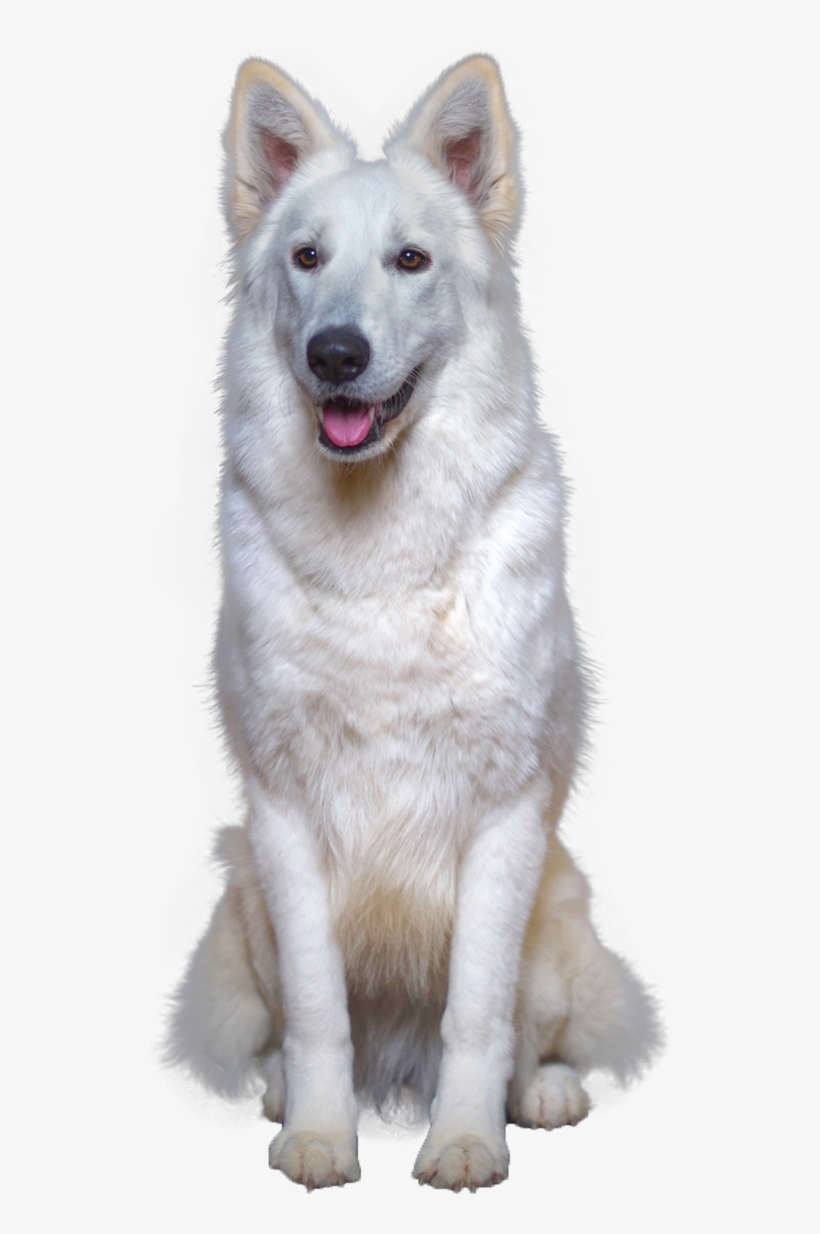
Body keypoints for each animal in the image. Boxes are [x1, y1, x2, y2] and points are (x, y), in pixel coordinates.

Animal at [166, 54, 661, 1191]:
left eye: (410, 260)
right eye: (306, 257)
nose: (336, 353)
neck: (379, 554)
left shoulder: (507, 814)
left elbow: (477, 1016)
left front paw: (467, 1142)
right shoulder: (282, 818)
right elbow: (317, 1016)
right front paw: (316, 1135)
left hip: (557, 907)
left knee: (531, 1034)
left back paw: (540, 1093)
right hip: (242, 890)